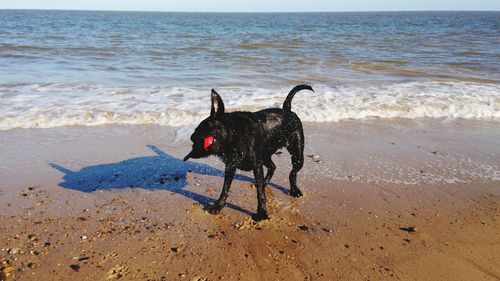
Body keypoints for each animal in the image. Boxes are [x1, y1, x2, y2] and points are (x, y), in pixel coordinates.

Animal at [184, 84, 312, 220]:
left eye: (201, 129)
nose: (191, 137)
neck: (235, 134)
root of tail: (287, 109)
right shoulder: (230, 167)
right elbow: (225, 189)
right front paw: (218, 206)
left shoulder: (256, 165)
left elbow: (260, 193)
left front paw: (262, 212)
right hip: (265, 156)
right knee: (273, 167)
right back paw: (266, 182)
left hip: (297, 154)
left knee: (292, 173)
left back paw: (294, 190)